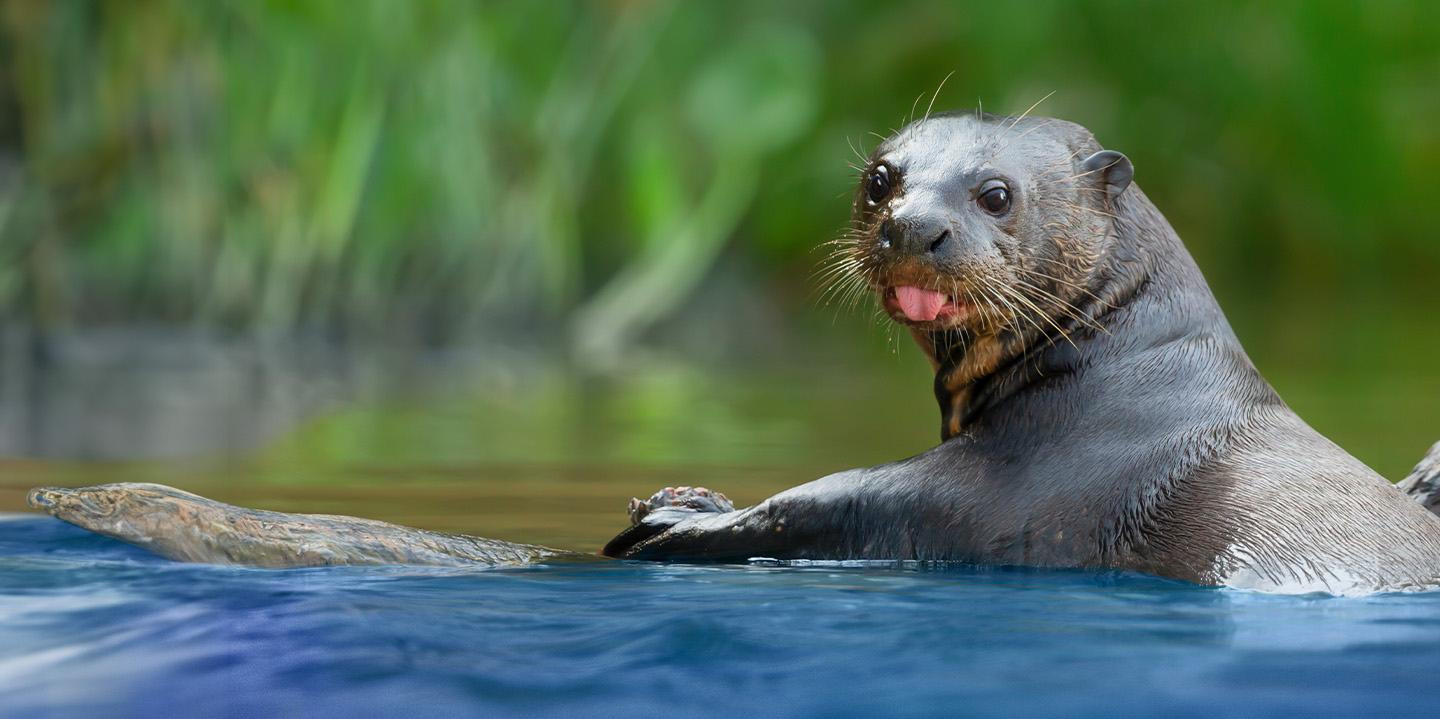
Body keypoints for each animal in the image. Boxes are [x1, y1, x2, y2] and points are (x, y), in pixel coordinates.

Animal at [19, 109, 1440, 596]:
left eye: (994, 192)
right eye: (881, 175)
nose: (914, 225)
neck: (1127, 366)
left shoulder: (1045, 476)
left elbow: (845, 499)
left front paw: (680, 516)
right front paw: (685, 490)